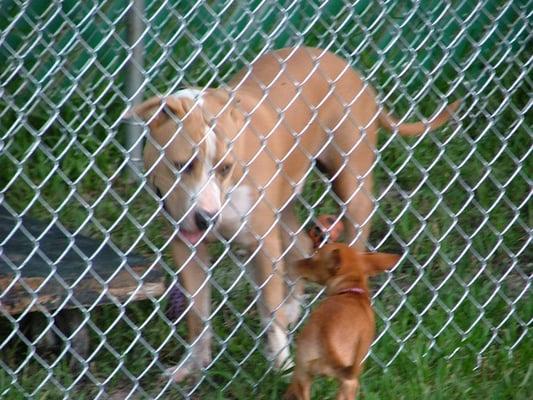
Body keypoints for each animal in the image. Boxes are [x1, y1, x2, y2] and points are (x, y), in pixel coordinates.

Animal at [125, 47, 458, 382]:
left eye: (225, 167)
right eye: (182, 165)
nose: (207, 219)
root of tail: (348, 68)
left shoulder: (262, 244)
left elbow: (269, 312)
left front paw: (281, 365)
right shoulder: (188, 248)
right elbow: (198, 314)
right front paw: (192, 365)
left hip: (352, 186)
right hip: (284, 208)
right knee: (300, 245)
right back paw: (293, 308)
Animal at [282, 244, 400, 400]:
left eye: (314, 258)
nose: (294, 263)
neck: (352, 292)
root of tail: (325, 333)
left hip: (303, 372)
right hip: (348, 381)